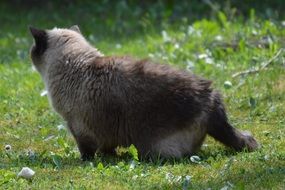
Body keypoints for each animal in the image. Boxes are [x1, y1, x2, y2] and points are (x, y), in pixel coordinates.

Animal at [28, 25, 258, 160]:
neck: (76, 63)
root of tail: (209, 95)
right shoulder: (102, 132)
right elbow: (107, 148)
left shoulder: (77, 127)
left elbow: (87, 151)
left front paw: (87, 161)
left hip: (152, 146)